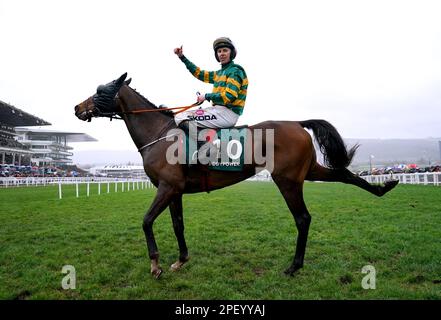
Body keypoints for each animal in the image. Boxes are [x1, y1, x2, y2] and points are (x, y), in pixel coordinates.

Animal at [74, 74, 398, 278]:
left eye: (100, 91)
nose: (78, 107)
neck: (159, 135)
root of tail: (296, 122)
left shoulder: (166, 187)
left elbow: (146, 221)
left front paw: (155, 265)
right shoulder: (174, 190)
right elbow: (178, 225)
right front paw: (180, 260)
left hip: (288, 179)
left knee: (303, 218)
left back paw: (294, 266)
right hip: (309, 171)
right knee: (343, 174)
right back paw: (384, 187)